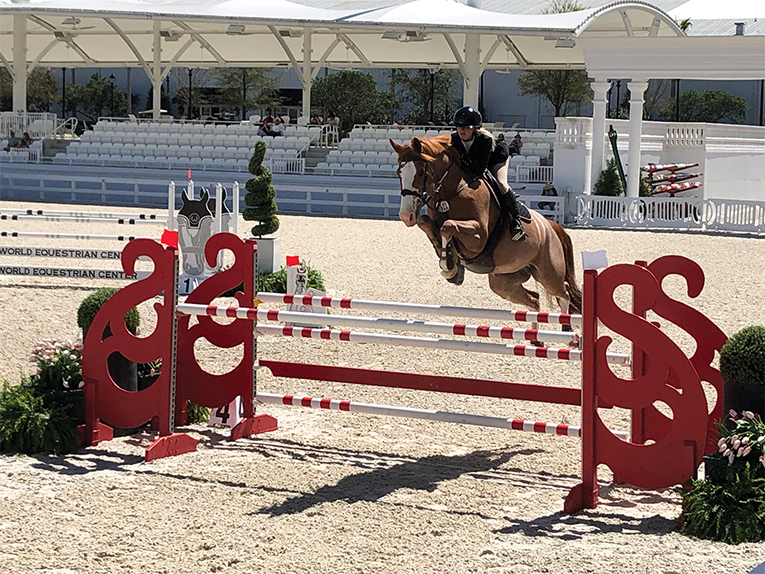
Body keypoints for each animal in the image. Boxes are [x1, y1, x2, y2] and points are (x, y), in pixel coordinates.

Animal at [390, 134, 582, 321]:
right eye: (399, 173)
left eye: (421, 172)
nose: (406, 216)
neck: (451, 193)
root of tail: (550, 226)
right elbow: (426, 223)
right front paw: (451, 264)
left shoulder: (479, 236)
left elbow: (448, 226)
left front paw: (448, 266)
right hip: (503, 281)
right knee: (534, 300)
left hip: (549, 274)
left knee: (564, 294)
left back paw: (567, 328)